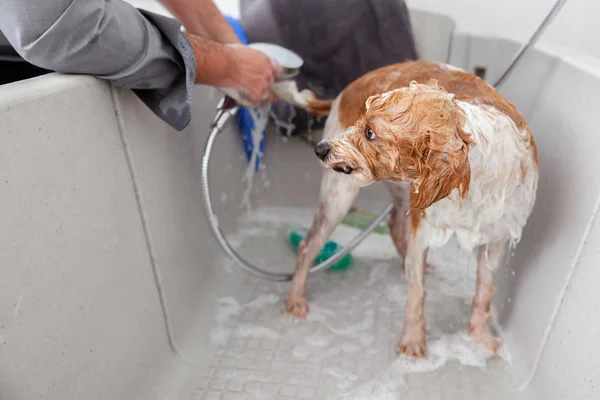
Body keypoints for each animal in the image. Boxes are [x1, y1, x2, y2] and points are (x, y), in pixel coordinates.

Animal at [292, 61, 536, 358]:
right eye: (360, 123)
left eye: (369, 132)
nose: (320, 149)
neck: (474, 182)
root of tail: (346, 89)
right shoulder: (423, 231)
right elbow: (416, 292)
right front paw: (413, 342)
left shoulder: (496, 239)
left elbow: (484, 292)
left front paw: (480, 337)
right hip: (339, 196)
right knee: (308, 245)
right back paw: (296, 300)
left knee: (395, 224)